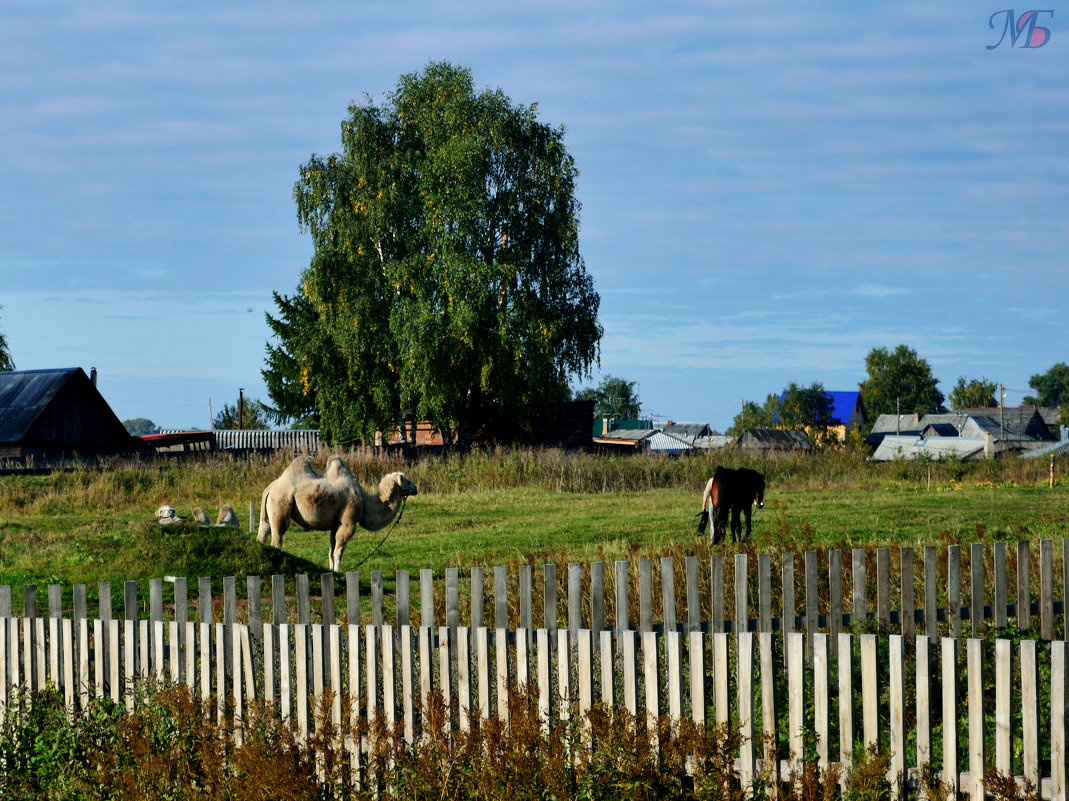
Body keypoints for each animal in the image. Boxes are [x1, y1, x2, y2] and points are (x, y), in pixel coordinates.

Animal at [257, 453, 416, 573]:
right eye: (407, 480)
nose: (415, 488)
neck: (364, 499)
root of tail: (269, 489)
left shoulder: (335, 525)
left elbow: (331, 551)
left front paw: (332, 570)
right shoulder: (348, 522)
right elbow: (338, 552)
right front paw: (338, 572)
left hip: (268, 513)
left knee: (262, 535)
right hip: (280, 504)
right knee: (277, 538)